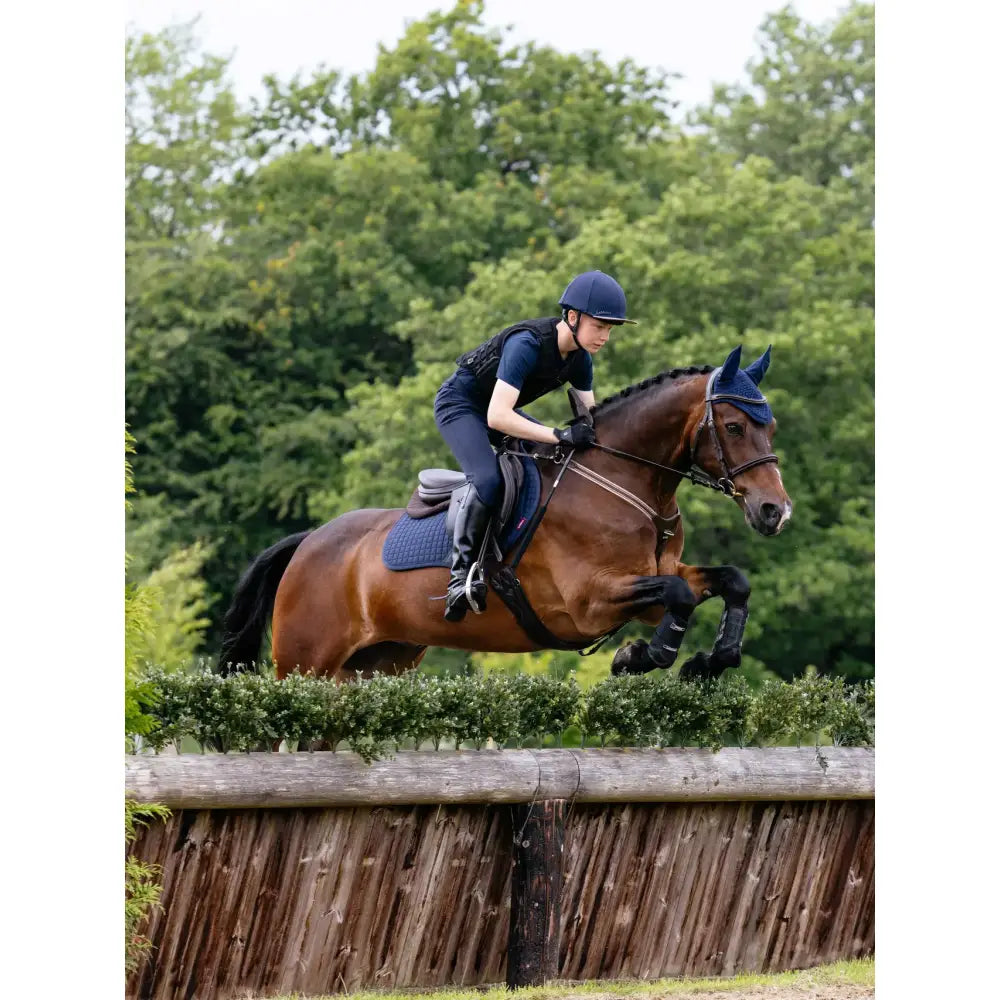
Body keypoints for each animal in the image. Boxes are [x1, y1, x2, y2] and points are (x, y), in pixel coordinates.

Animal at [218, 345, 792, 683]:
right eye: (735, 427)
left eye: (772, 426)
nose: (775, 511)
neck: (629, 483)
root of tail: (309, 541)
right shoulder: (589, 602)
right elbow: (678, 597)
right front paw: (637, 658)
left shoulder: (655, 583)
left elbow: (730, 582)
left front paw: (709, 660)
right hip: (304, 663)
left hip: (376, 663)